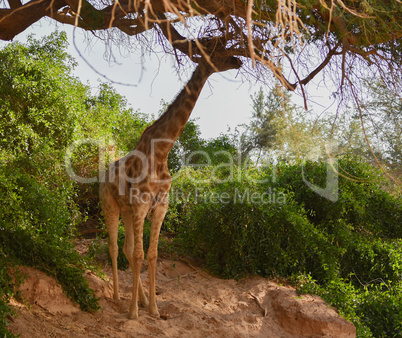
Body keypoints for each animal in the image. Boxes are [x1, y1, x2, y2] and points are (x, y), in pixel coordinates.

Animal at [99, 56, 242, 320]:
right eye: (218, 54)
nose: (238, 61)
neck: (161, 152)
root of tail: (103, 176)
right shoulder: (142, 204)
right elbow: (140, 255)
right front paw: (133, 313)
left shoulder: (160, 206)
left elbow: (152, 255)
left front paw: (154, 310)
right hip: (109, 206)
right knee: (114, 247)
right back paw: (117, 297)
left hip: (127, 210)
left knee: (127, 248)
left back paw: (142, 300)